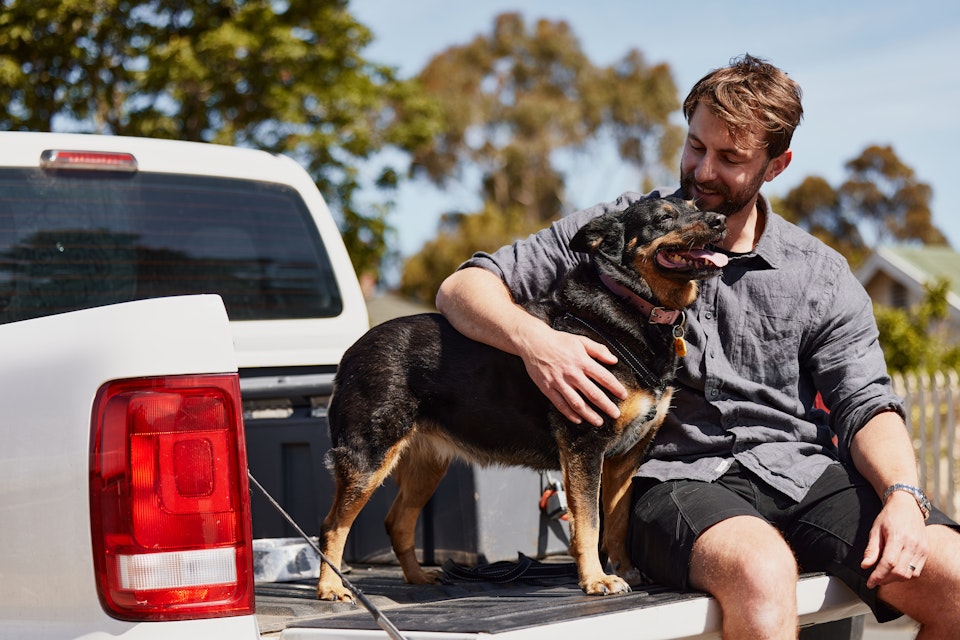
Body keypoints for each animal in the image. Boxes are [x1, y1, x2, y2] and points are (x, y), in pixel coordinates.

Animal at [318, 198, 724, 604]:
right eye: (665, 217)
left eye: (695, 205)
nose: (720, 220)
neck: (633, 306)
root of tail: (350, 354)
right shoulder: (585, 445)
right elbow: (589, 522)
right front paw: (596, 579)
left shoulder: (624, 460)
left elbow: (617, 522)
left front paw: (623, 570)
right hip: (369, 460)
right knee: (332, 525)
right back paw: (330, 587)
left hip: (426, 465)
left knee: (397, 522)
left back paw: (417, 577)